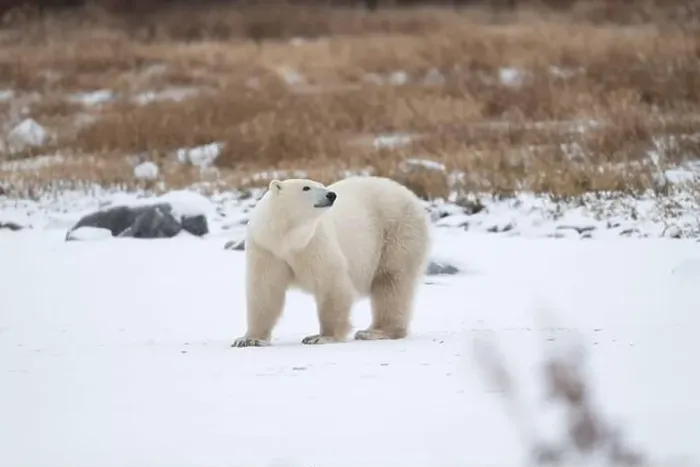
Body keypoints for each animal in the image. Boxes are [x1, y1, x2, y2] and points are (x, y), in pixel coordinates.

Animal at [231, 175, 431, 347]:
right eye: (306, 187)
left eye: (322, 185)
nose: (331, 194)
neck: (287, 239)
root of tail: (410, 194)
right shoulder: (267, 249)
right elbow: (265, 291)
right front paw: (249, 339)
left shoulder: (314, 243)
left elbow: (331, 284)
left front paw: (320, 337)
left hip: (396, 231)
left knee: (391, 282)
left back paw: (375, 332)